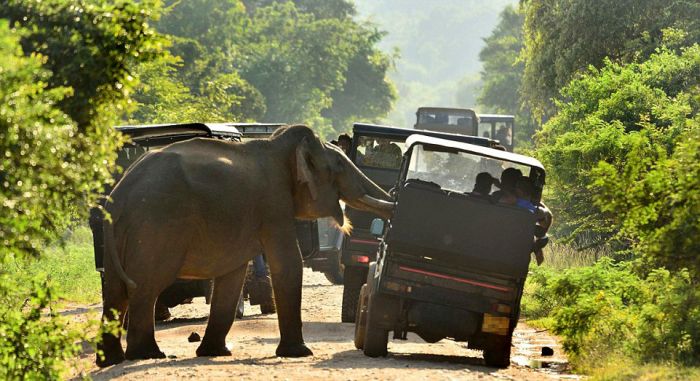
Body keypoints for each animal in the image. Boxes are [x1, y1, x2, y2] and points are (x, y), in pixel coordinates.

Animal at [96, 124, 394, 366]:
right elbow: (288, 263)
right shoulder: (274, 203)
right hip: (156, 226)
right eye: (339, 166)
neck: (278, 147)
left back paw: (110, 360)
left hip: (123, 234)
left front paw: (216, 352)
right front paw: (300, 353)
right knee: (146, 287)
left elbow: (233, 275)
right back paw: (148, 355)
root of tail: (121, 193)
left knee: (115, 291)